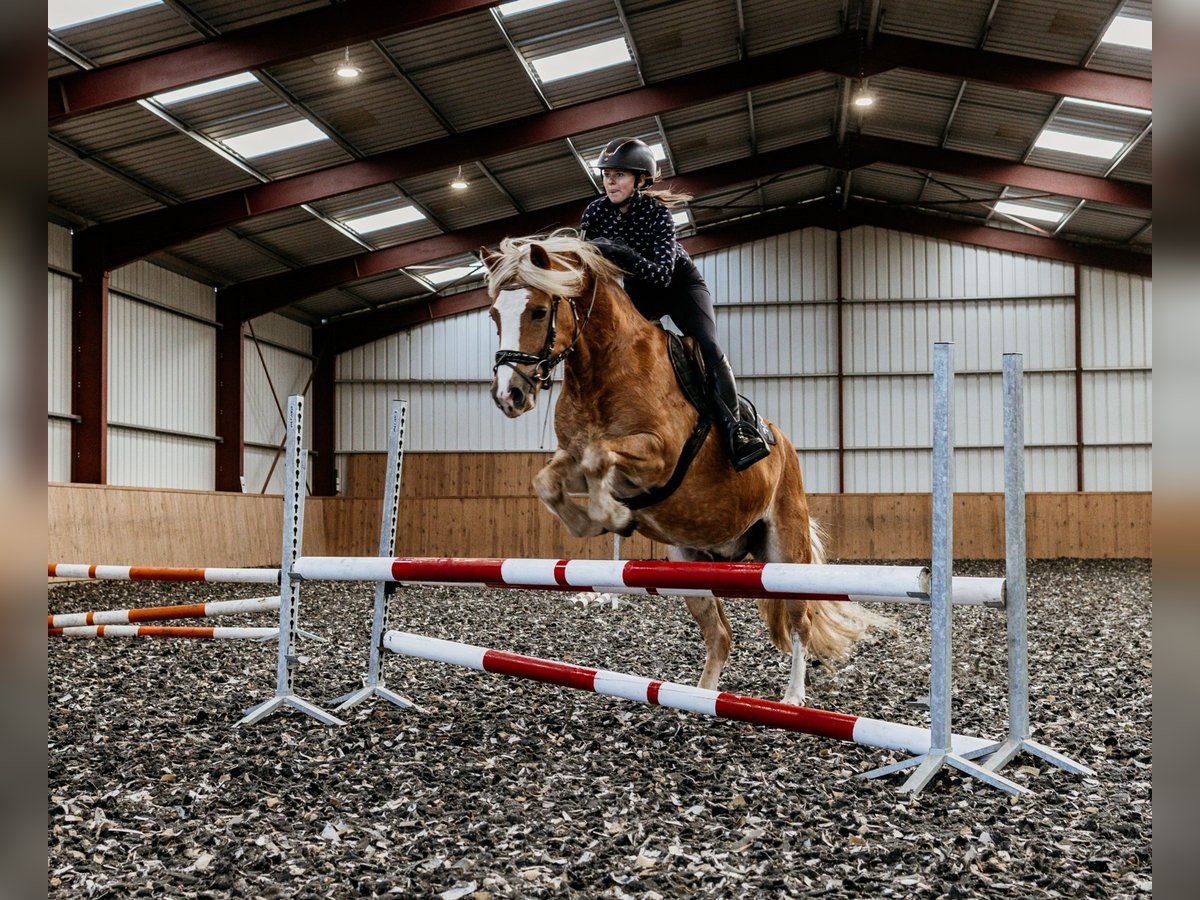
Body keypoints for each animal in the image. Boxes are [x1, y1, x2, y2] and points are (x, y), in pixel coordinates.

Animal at [482, 230, 888, 705]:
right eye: (494, 314)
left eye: (539, 310)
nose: (508, 395)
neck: (603, 367)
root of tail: (784, 444)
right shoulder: (572, 457)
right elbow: (550, 479)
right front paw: (593, 521)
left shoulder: (660, 454)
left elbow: (601, 456)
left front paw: (613, 515)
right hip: (688, 563)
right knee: (720, 634)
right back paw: (700, 699)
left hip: (785, 550)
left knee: (799, 625)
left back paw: (792, 698)